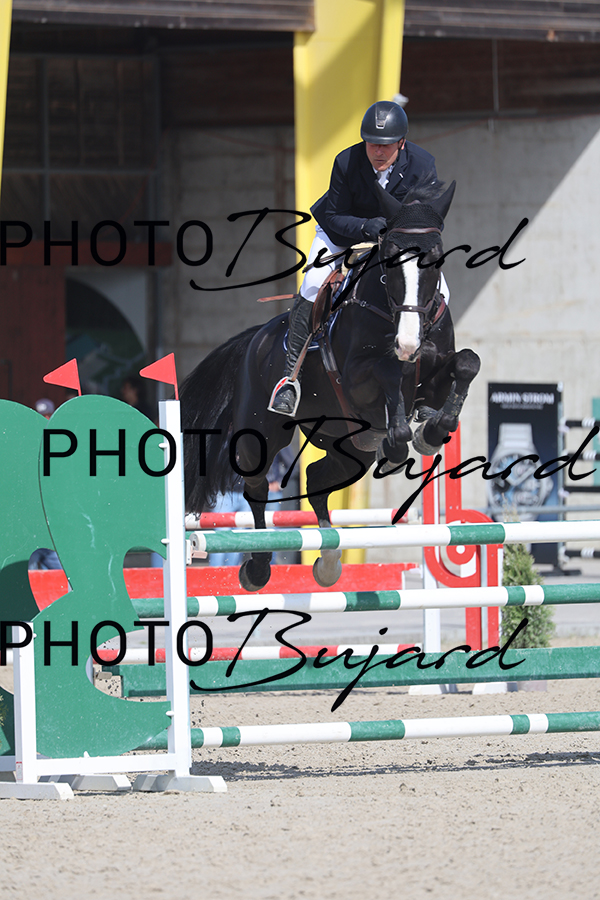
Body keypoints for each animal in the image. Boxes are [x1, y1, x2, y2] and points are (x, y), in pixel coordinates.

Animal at [181, 177, 480, 591]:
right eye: (390, 256)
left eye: (437, 256)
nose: (407, 344)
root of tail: (256, 337)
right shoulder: (358, 381)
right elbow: (389, 374)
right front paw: (401, 439)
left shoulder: (433, 379)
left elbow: (467, 363)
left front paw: (433, 432)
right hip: (262, 433)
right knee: (256, 487)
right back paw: (258, 568)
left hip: (347, 445)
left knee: (316, 475)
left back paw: (328, 560)